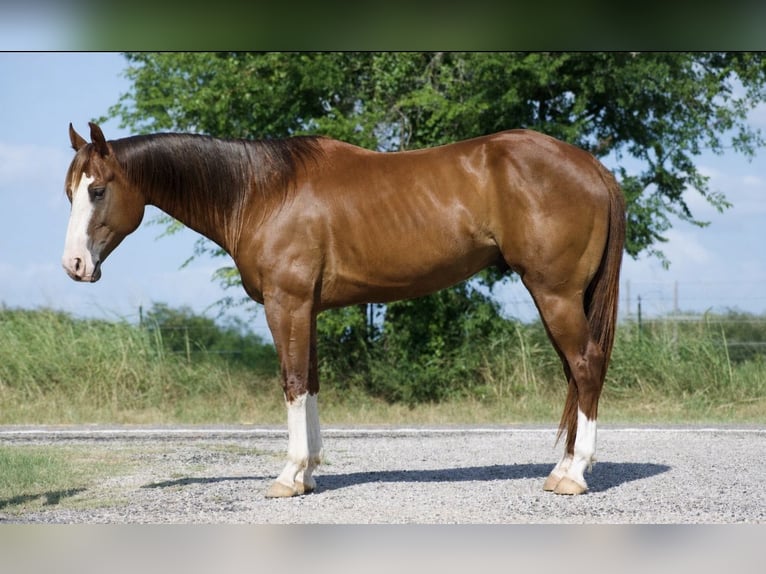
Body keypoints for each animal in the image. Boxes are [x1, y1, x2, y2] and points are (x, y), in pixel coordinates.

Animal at [62, 122, 625, 497]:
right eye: (69, 191)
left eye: (98, 189)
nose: (74, 265)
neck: (263, 192)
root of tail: (592, 166)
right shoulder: (306, 309)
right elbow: (309, 383)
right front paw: (309, 472)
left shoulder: (286, 305)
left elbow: (291, 382)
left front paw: (288, 477)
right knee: (575, 375)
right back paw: (562, 469)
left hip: (554, 293)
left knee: (585, 366)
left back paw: (574, 476)